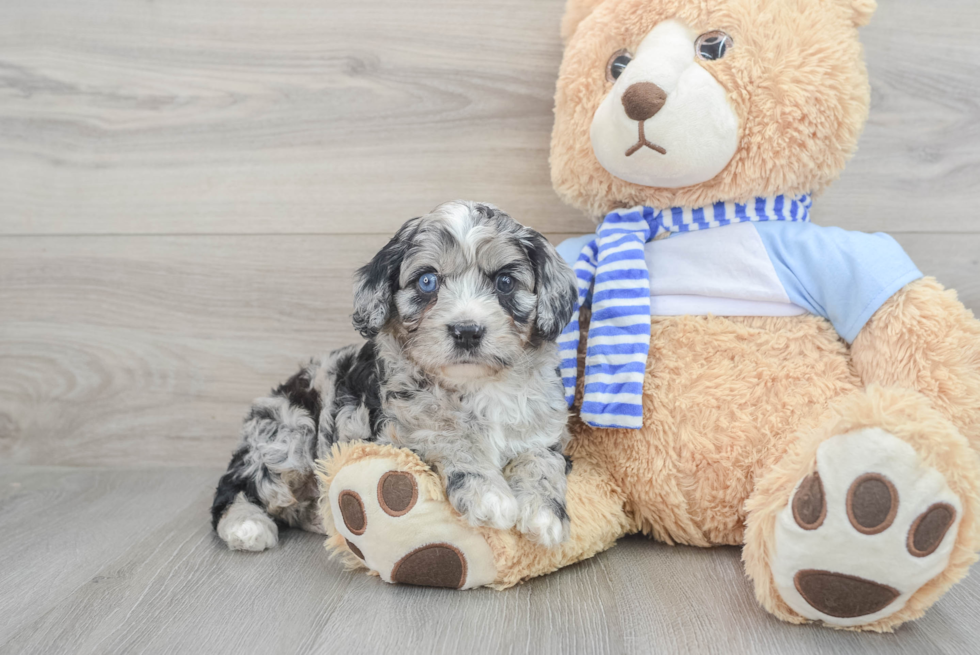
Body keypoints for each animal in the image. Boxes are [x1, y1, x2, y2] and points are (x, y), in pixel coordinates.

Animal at [212, 201, 580, 552]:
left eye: (505, 282)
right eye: (427, 281)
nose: (467, 331)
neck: (475, 385)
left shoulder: (543, 432)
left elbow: (542, 463)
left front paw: (545, 516)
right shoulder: (397, 431)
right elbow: (447, 437)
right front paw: (489, 495)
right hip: (289, 432)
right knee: (237, 484)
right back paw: (246, 525)